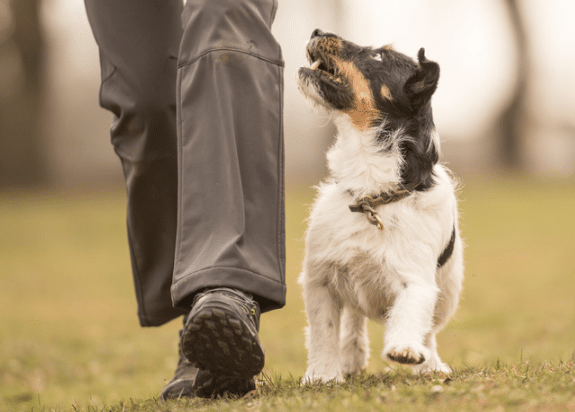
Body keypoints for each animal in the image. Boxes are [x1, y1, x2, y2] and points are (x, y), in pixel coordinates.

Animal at [300, 29, 466, 384]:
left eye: (379, 56)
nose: (317, 31)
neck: (371, 195)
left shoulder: (416, 279)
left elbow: (410, 311)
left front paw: (405, 349)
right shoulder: (320, 278)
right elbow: (324, 330)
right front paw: (323, 374)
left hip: (447, 291)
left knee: (428, 330)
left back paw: (430, 363)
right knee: (353, 318)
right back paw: (351, 357)